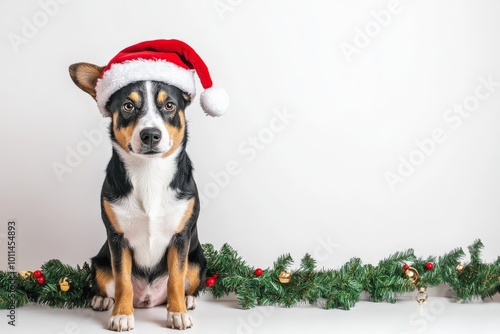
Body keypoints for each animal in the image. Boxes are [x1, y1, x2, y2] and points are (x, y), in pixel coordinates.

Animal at [68, 40, 229, 330]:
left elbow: (176, 278)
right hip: (100, 261)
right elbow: (122, 281)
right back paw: (102, 300)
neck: (149, 173)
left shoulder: (180, 239)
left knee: (188, 281)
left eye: (169, 106)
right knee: (107, 283)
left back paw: (188, 300)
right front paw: (122, 314)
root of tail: (148, 299)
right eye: (128, 107)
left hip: (198, 260)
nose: (150, 135)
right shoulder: (117, 240)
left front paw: (177, 313)